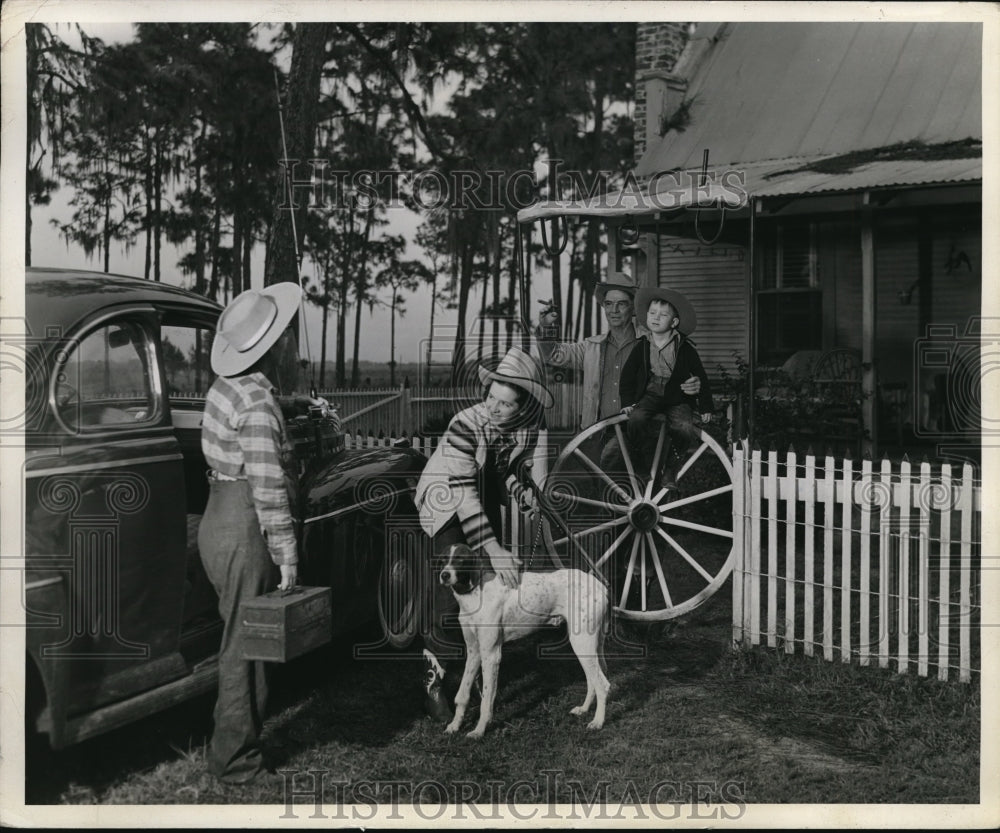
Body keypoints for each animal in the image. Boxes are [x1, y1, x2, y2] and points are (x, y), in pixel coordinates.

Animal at [442, 544, 612, 736]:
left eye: (461, 559)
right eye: (443, 559)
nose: (444, 575)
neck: (475, 595)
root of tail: (600, 586)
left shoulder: (491, 655)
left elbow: (486, 700)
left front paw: (479, 730)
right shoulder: (474, 652)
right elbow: (462, 694)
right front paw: (455, 725)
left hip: (582, 644)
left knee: (602, 685)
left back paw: (598, 721)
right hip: (588, 647)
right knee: (593, 679)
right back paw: (584, 709)